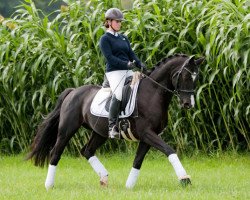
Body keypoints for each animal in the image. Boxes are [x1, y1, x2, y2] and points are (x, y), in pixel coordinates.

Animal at [25, 53, 205, 191]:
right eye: (186, 75)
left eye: (196, 77)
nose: (188, 104)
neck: (152, 93)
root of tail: (73, 91)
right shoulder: (147, 133)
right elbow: (170, 151)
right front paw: (185, 179)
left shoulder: (148, 137)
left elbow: (137, 160)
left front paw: (129, 186)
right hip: (67, 130)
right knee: (56, 152)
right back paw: (49, 185)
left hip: (99, 132)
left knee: (87, 150)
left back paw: (104, 178)